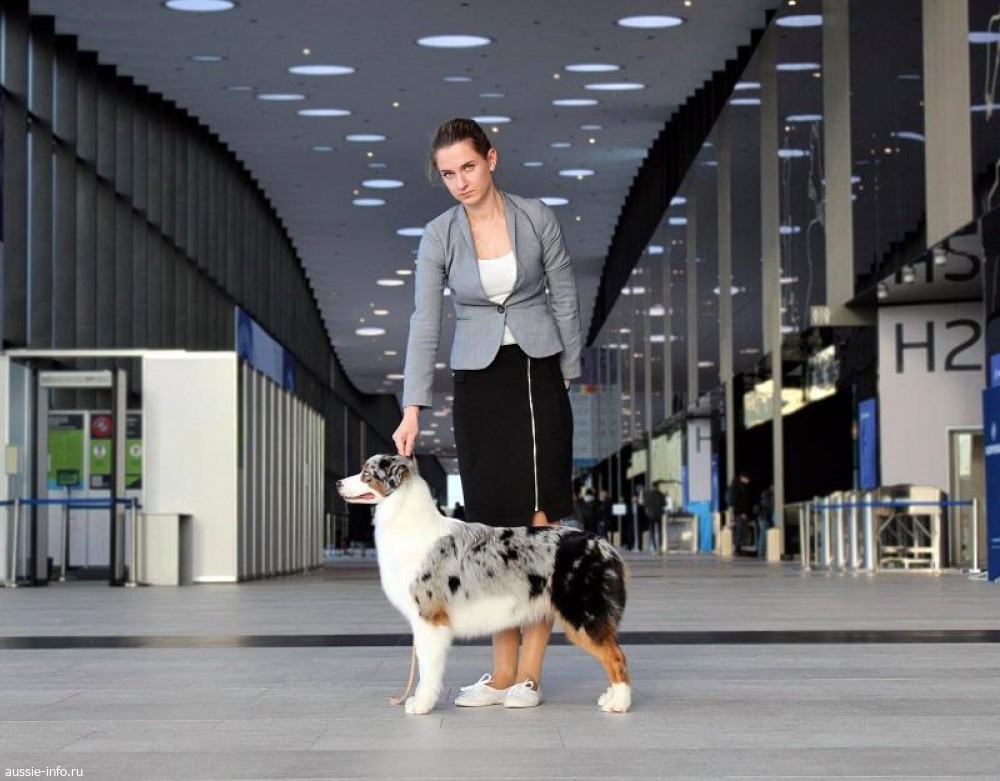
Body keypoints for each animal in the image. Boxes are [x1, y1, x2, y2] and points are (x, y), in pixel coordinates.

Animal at [336, 454, 632, 715]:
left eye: (366, 473)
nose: (337, 482)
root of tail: (604, 545)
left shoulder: (429, 618)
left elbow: (427, 669)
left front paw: (421, 705)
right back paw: (610, 698)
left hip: (582, 615)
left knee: (616, 657)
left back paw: (619, 703)